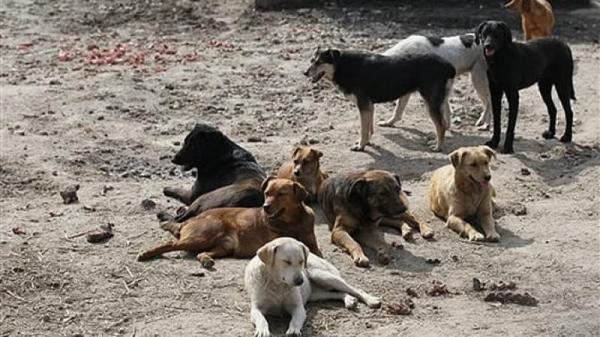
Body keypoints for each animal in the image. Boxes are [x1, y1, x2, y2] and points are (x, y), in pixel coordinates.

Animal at [138, 177, 322, 266]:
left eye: (281, 194)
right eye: (267, 193)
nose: (265, 207)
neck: (294, 222)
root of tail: (191, 219)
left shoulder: (313, 246)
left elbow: (317, 253)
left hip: (223, 247)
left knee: (200, 253)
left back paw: (206, 260)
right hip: (201, 236)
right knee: (171, 243)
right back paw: (146, 254)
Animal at [244, 236, 380, 336]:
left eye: (301, 261)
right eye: (286, 261)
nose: (300, 281)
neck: (278, 285)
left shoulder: (298, 307)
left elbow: (296, 320)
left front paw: (294, 330)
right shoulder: (256, 308)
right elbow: (261, 319)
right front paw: (262, 330)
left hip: (321, 276)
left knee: (356, 289)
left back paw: (371, 300)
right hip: (316, 294)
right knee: (337, 293)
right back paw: (349, 300)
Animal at [304, 47, 454, 151]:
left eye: (319, 62)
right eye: (312, 61)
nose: (305, 73)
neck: (342, 65)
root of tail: (447, 65)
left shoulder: (363, 105)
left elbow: (363, 130)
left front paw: (361, 146)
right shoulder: (369, 106)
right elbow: (369, 128)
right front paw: (367, 142)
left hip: (431, 103)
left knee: (440, 126)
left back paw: (438, 147)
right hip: (437, 101)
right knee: (444, 123)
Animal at [476, 20, 576, 152]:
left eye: (496, 34)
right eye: (484, 33)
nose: (488, 45)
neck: (501, 58)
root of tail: (565, 45)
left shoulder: (513, 95)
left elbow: (510, 126)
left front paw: (508, 147)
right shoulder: (495, 93)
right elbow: (497, 122)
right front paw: (494, 142)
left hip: (562, 86)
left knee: (569, 112)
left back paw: (567, 136)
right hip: (544, 87)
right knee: (552, 109)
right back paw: (551, 133)